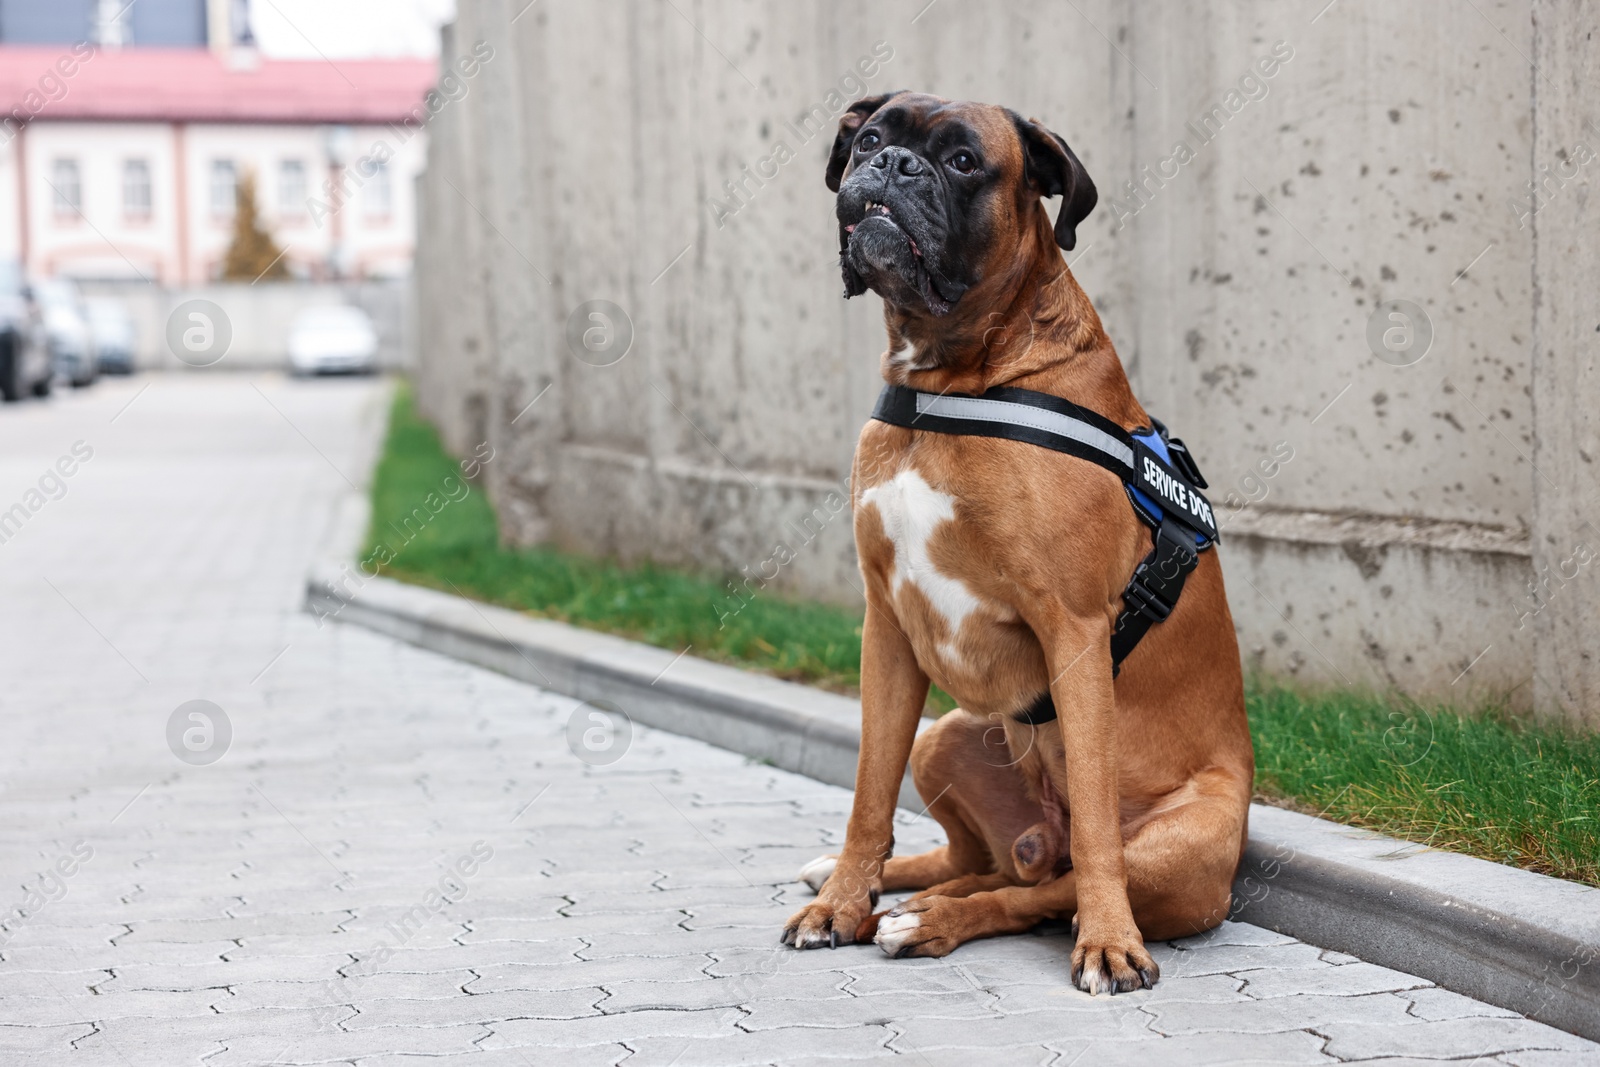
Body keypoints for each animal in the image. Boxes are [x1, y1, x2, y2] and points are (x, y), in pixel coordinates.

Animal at [780, 95, 1254, 998]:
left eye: (965, 161)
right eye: (869, 138)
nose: (893, 165)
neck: (951, 376)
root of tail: (1038, 837)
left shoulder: (1076, 632)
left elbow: (1098, 829)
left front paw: (1110, 944)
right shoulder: (886, 627)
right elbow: (868, 792)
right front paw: (843, 899)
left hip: (1180, 846)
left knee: (1037, 889)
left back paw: (934, 922)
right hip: (947, 734)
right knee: (981, 863)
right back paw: (887, 892)